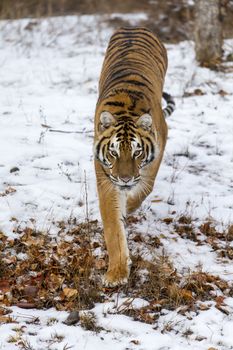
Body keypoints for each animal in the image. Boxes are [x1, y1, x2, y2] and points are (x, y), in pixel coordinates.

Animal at [93, 27, 175, 288]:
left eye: (137, 152)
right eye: (113, 152)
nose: (126, 179)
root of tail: (133, 27)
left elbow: (144, 189)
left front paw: (128, 206)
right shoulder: (106, 177)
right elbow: (113, 228)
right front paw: (117, 273)